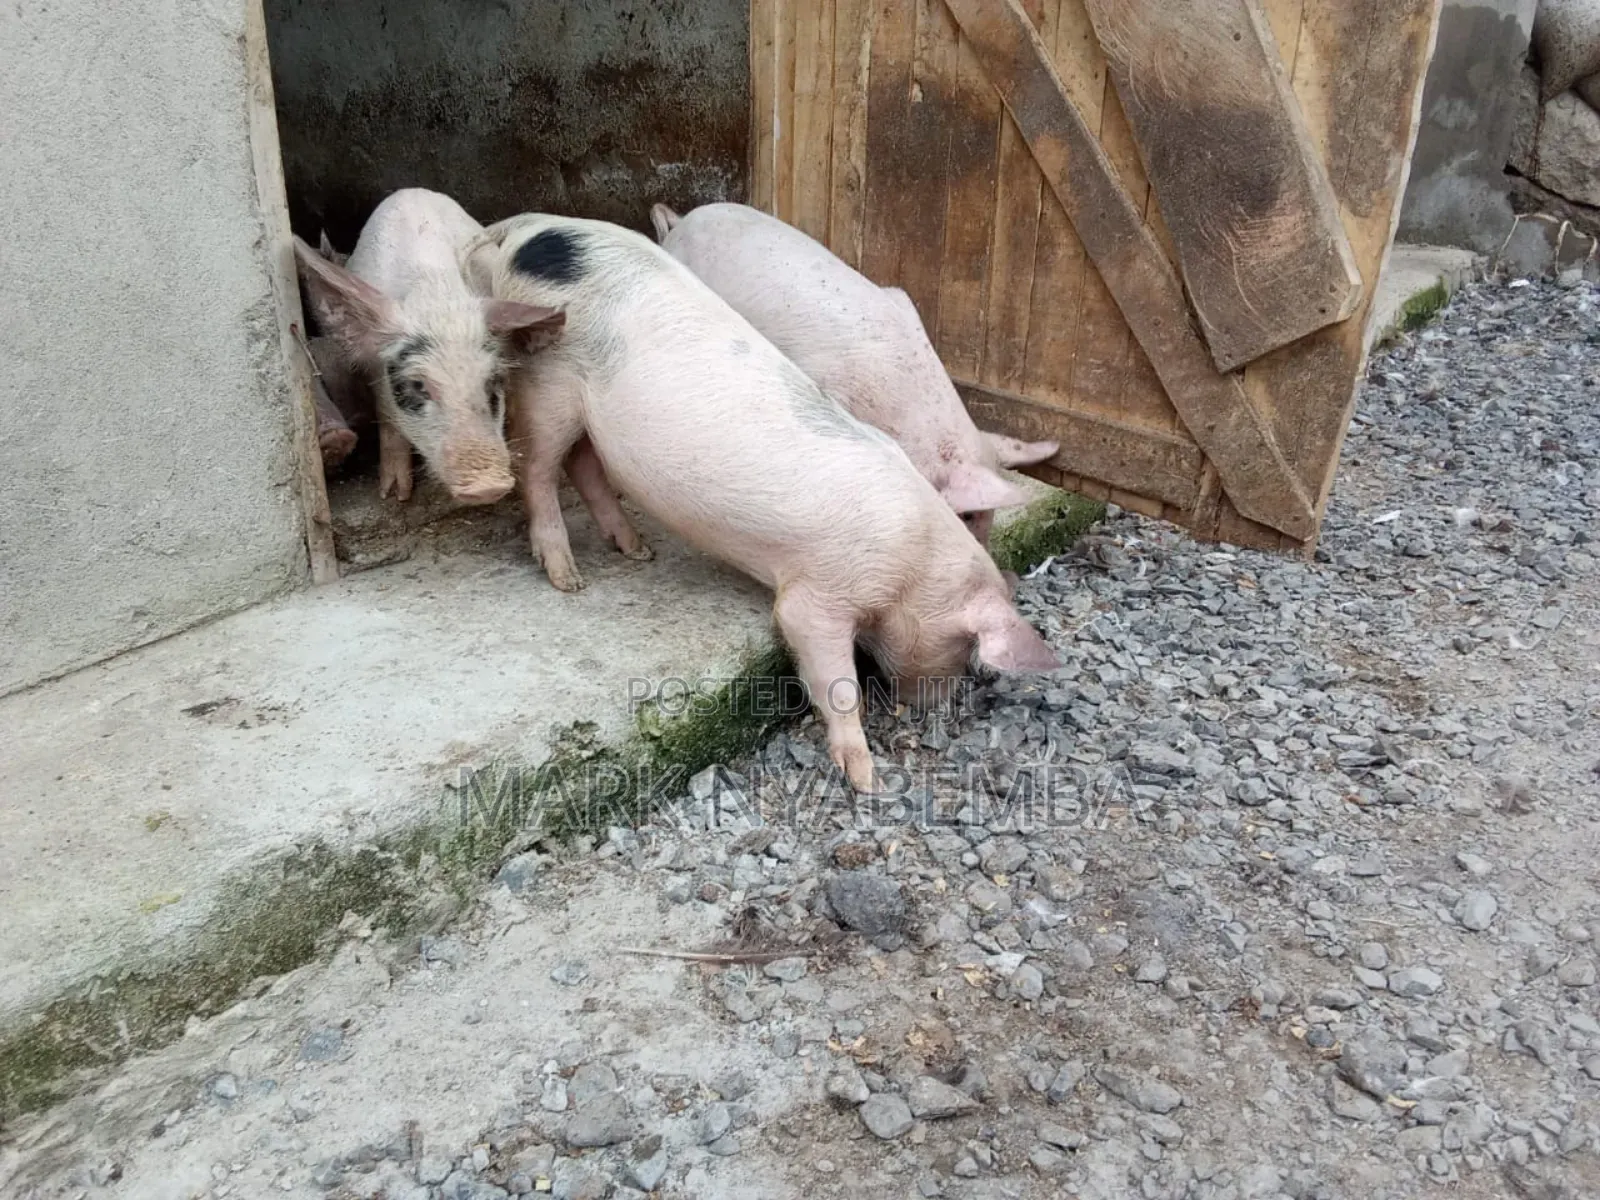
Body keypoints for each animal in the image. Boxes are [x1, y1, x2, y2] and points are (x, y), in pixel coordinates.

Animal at [291, 188, 565, 505]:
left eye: (492, 381)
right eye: (418, 385)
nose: (488, 486)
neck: (433, 297)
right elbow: (388, 420)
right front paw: (395, 496)